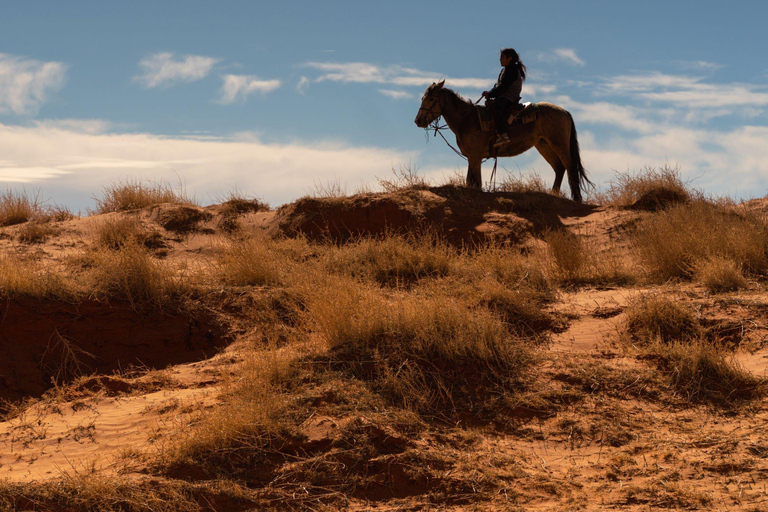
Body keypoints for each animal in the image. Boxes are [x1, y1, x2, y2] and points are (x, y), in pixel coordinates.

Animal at [416, 80, 592, 202]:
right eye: (423, 97)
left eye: (431, 98)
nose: (418, 121)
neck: (466, 119)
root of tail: (564, 112)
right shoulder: (473, 158)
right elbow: (471, 181)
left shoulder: (475, 157)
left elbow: (475, 183)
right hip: (543, 145)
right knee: (559, 168)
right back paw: (554, 194)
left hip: (559, 144)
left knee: (570, 166)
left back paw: (577, 198)